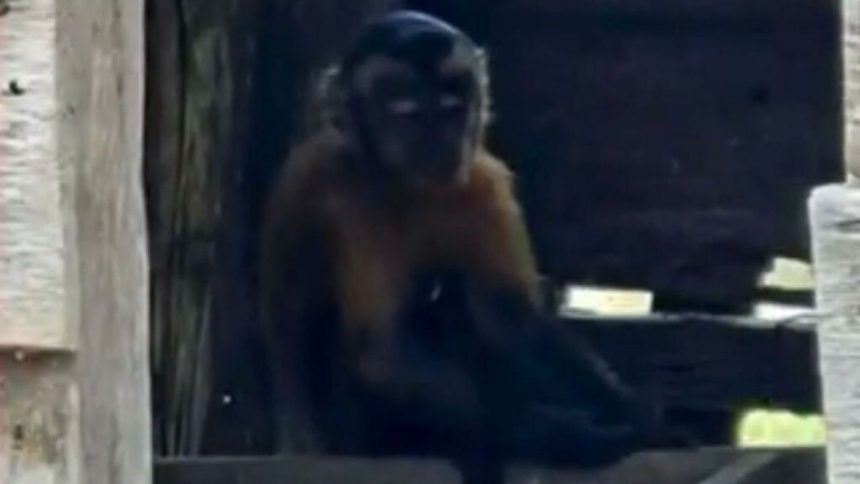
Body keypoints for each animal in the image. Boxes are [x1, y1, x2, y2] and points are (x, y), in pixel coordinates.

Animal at [260, 10, 690, 483]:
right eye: (405, 108)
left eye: (454, 102)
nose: (439, 132)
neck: (413, 188)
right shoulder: (345, 188)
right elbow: (384, 351)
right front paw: (560, 433)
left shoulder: (483, 181)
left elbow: (512, 321)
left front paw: (636, 418)